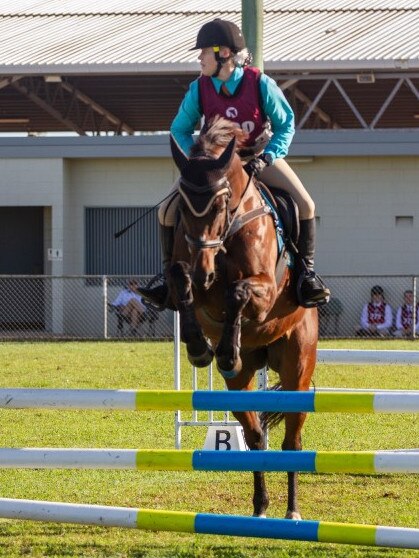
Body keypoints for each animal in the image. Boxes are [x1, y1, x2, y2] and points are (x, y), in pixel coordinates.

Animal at [167, 117, 318, 520]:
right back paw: (260, 507)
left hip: (297, 369)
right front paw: (200, 348)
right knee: (255, 437)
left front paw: (225, 349)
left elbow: (238, 292)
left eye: (220, 202)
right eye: (183, 204)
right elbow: (181, 283)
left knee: (292, 442)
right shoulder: (190, 277)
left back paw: (292, 513)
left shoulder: (264, 289)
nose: (204, 269)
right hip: (243, 382)